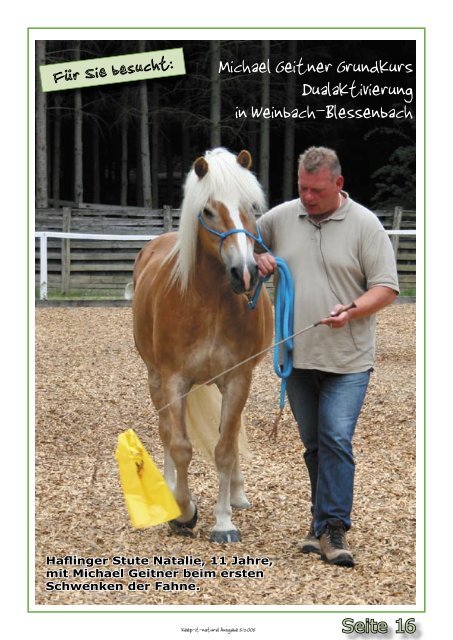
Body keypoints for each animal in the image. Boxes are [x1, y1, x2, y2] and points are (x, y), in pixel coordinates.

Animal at [131, 146, 272, 540]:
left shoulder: (238, 379)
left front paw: (224, 520)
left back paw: (237, 494)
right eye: (208, 210)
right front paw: (183, 511)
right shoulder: (173, 379)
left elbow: (225, 447)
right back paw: (169, 489)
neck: (208, 303)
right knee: (165, 432)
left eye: (251, 206)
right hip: (154, 379)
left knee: (232, 435)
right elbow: (179, 445)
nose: (246, 273)